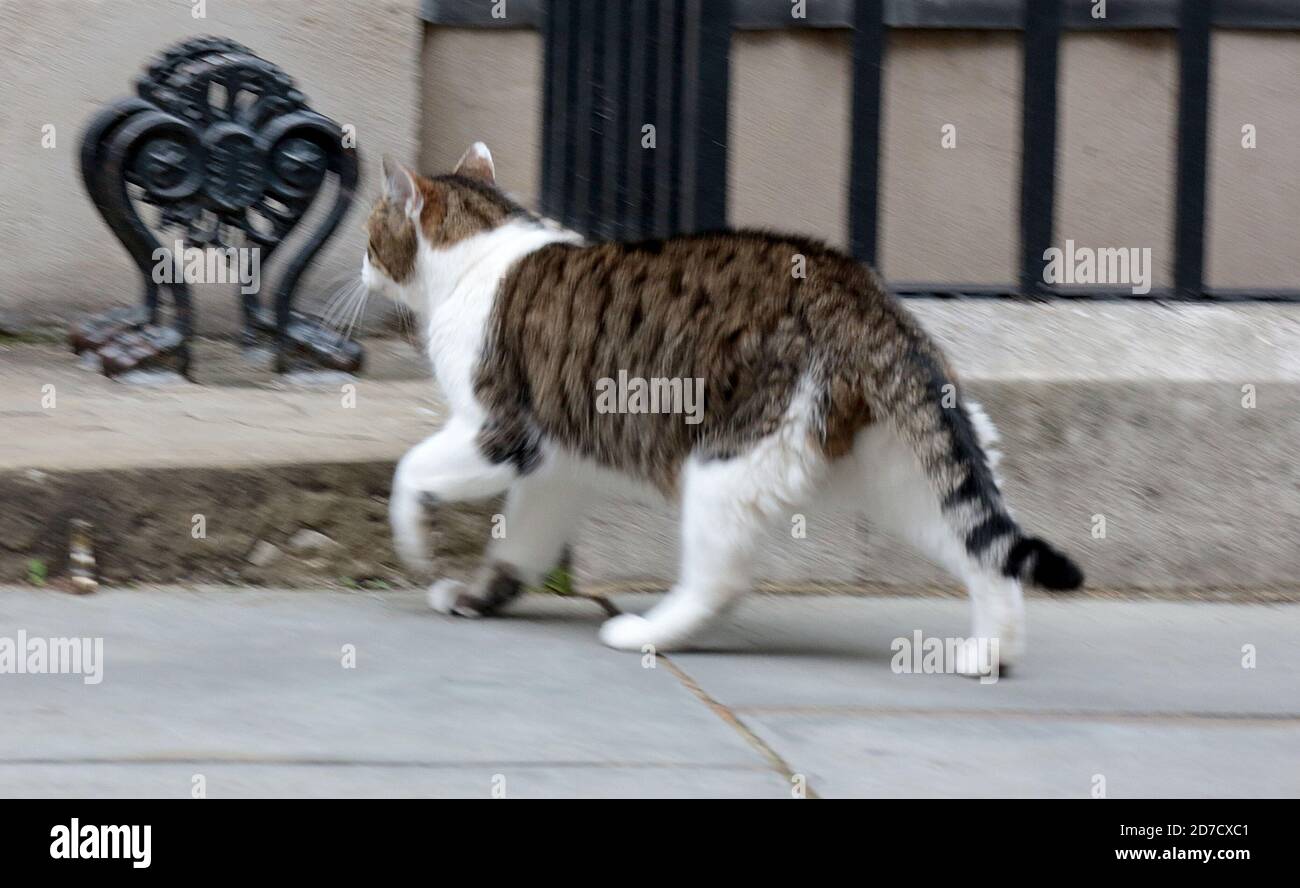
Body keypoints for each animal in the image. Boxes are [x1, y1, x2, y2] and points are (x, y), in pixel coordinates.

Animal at [361, 142, 1081, 670]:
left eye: (370, 236)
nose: (362, 269)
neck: (480, 249)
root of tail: (860, 294)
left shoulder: (501, 431)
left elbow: (409, 470)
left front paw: (413, 542)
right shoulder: (556, 466)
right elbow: (520, 545)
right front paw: (479, 596)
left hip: (730, 458)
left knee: (722, 579)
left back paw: (646, 632)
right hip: (903, 472)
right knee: (983, 550)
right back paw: (991, 652)